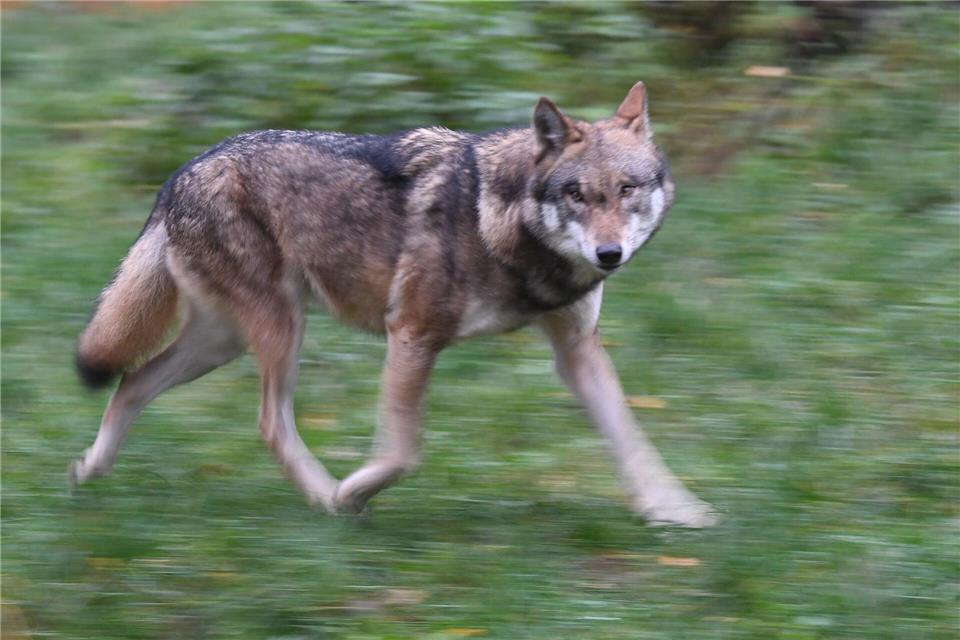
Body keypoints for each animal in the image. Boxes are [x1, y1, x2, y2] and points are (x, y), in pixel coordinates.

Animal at [71, 82, 716, 527]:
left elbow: (632, 438)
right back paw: (325, 498)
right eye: (578, 194)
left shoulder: (577, 351)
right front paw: (353, 491)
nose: (609, 254)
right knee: (268, 423)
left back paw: (89, 470)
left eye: (627, 189)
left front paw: (676, 511)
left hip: (223, 341)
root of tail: (180, 172)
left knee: (132, 381)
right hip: (279, 331)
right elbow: (403, 452)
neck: (503, 224)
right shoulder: (411, 333)